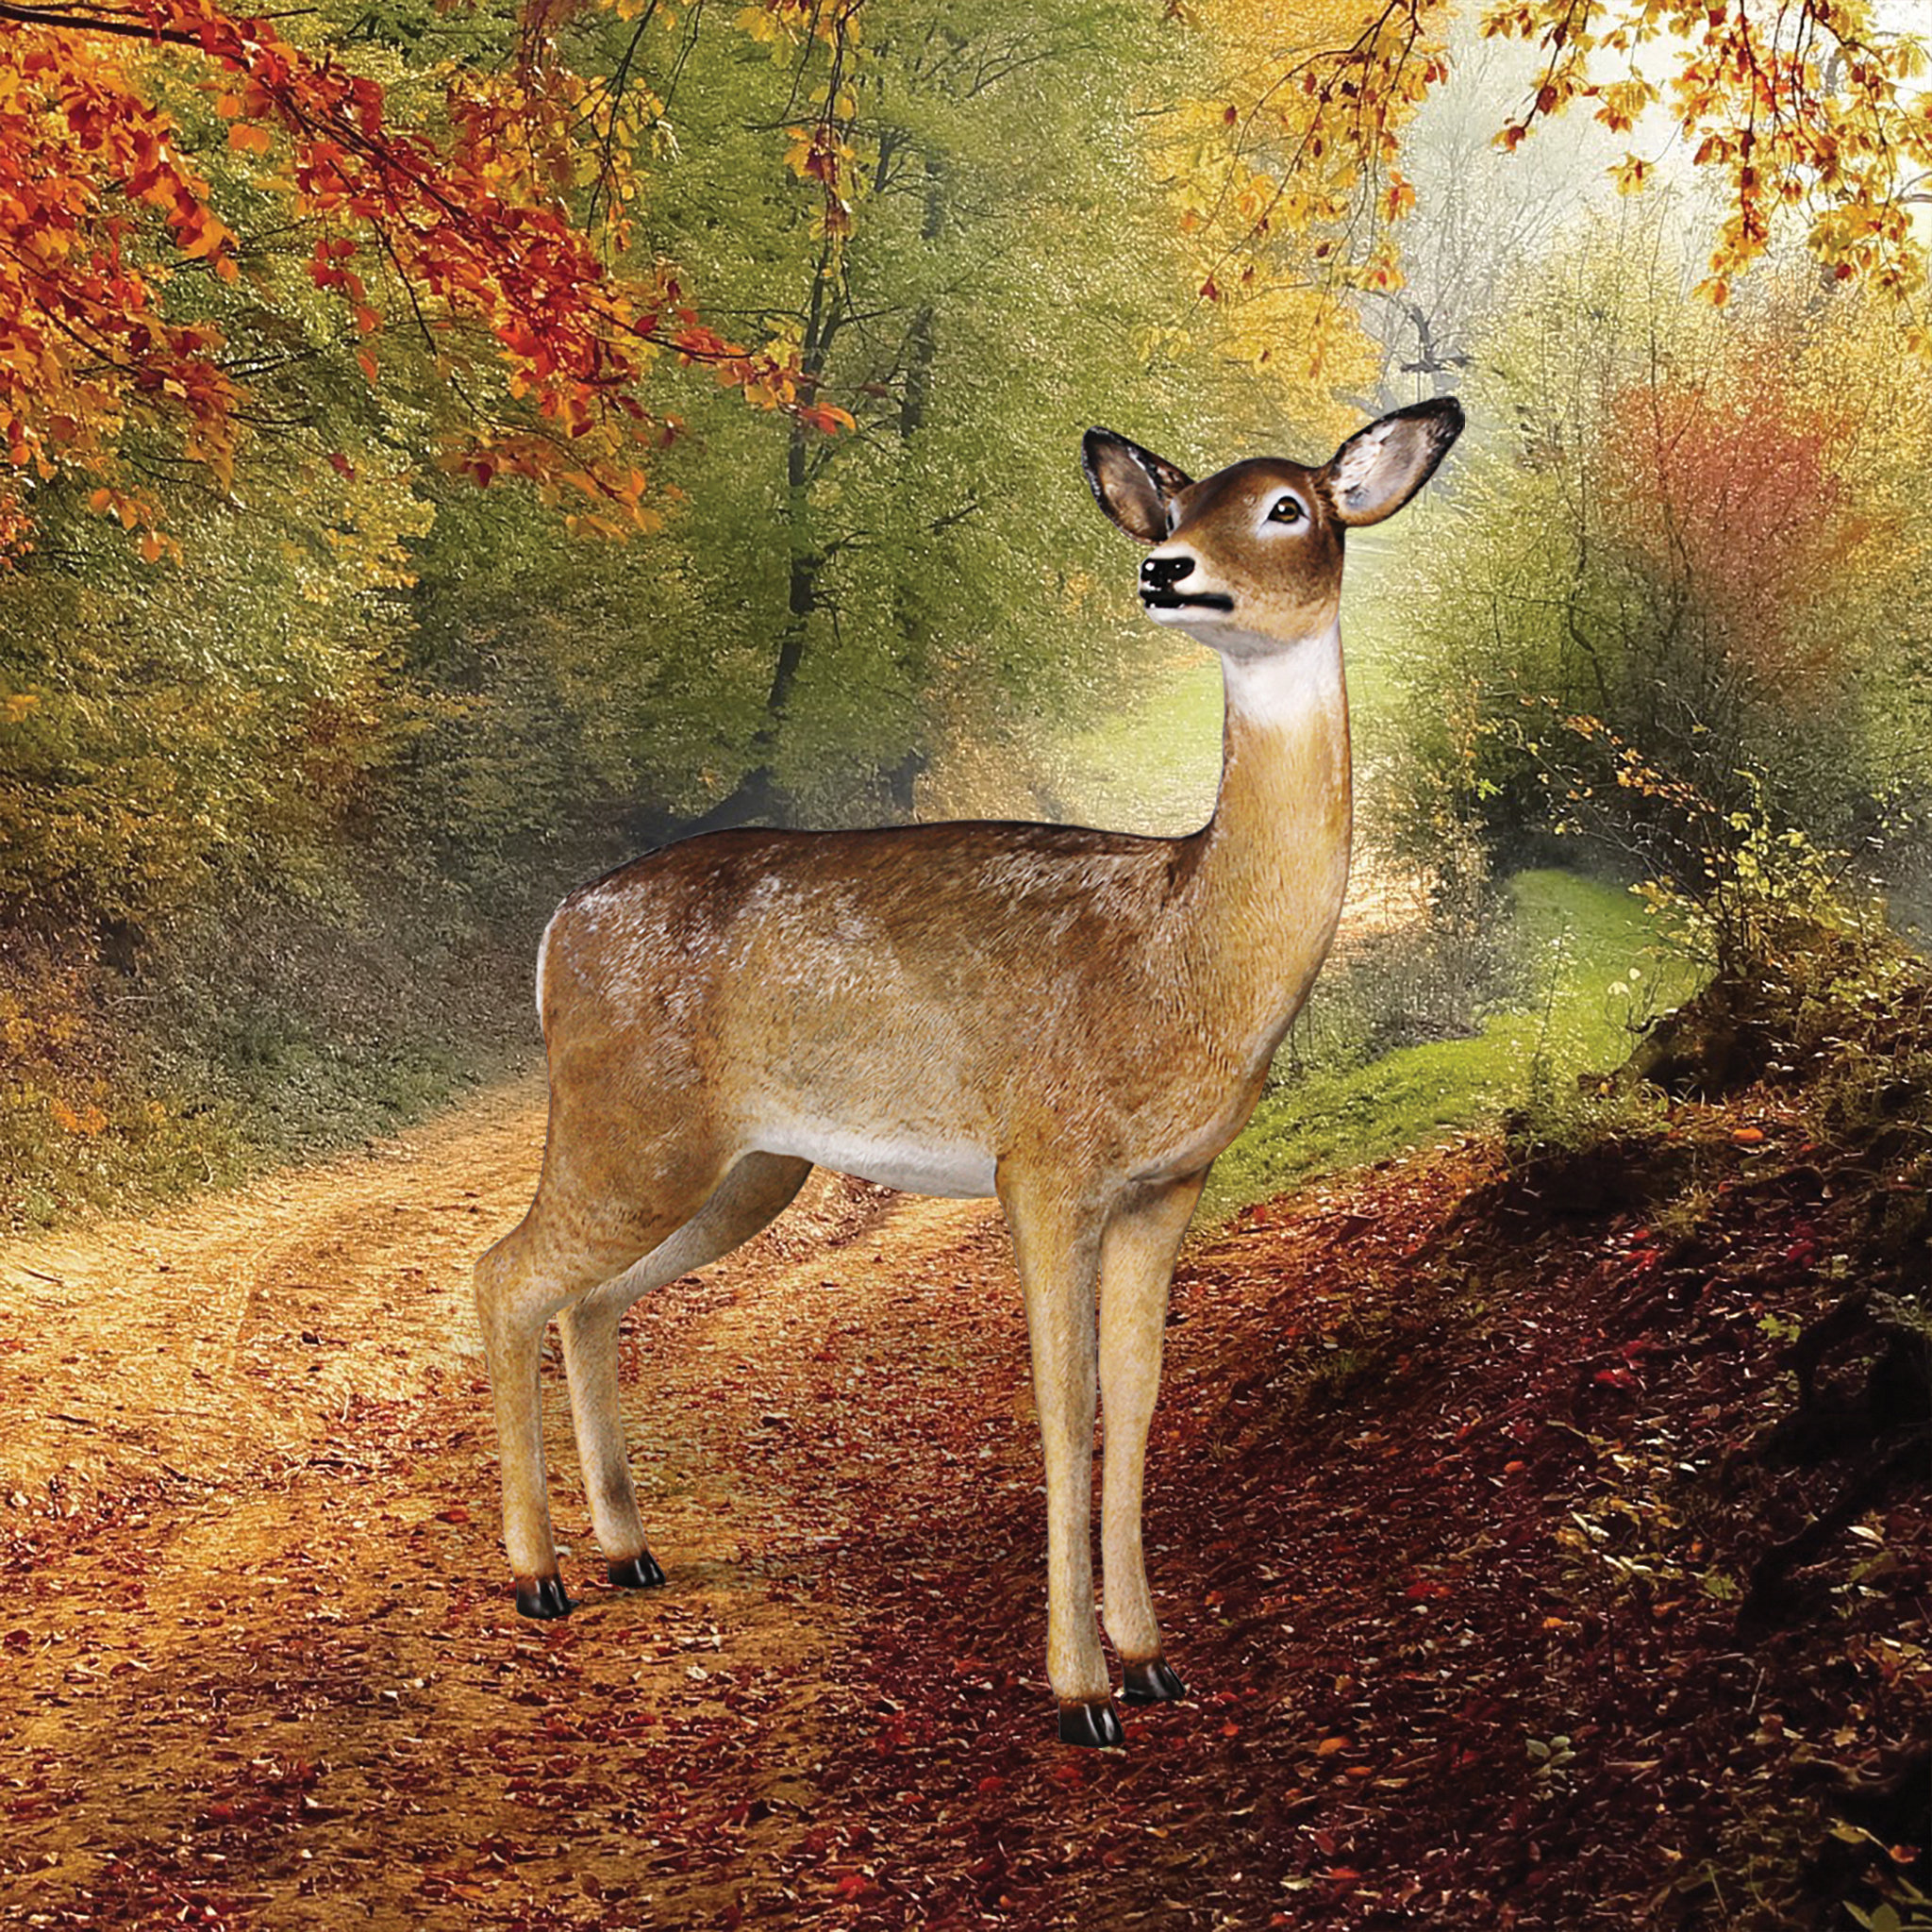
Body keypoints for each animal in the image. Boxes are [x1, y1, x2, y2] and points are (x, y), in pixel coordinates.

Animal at [473, 397, 1464, 1747]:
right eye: (1175, 503)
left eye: (1285, 506)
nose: (1166, 570)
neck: (1179, 946)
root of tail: (554, 929)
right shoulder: (1041, 1159)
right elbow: (1063, 1408)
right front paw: (1079, 1692)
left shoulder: (1167, 1183)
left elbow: (1137, 1399)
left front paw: (1150, 1659)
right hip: (627, 1119)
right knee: (502, 1271)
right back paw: (537, 1575)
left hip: (742, 1161)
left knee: (583, 1296)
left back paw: (628, 1551)